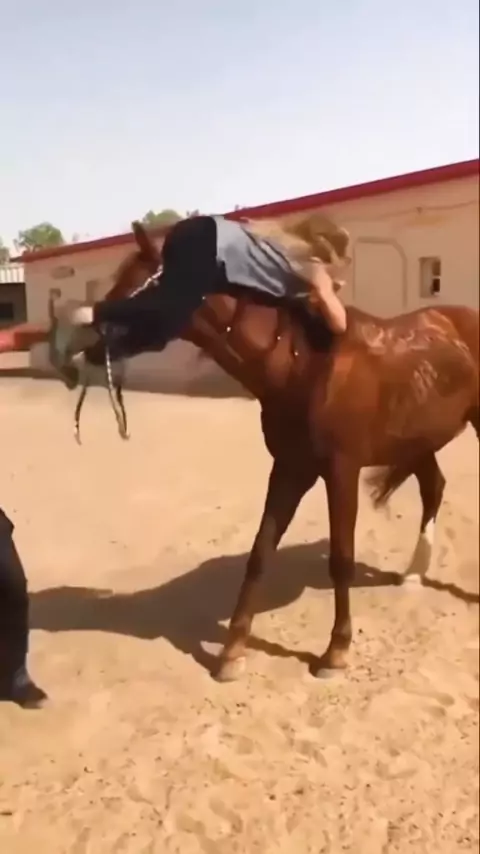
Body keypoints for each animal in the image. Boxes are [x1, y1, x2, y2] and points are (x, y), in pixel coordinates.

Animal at [55, 220, 478, 683]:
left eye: (133, 289)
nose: (77, 353)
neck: (303, 364)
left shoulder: (340, 471)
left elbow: (341, 559)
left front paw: (335, 651)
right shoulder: (290, 468)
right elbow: (260, 552)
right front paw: (232, 652)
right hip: (418, 438)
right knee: (433, 487)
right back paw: (414, 573)